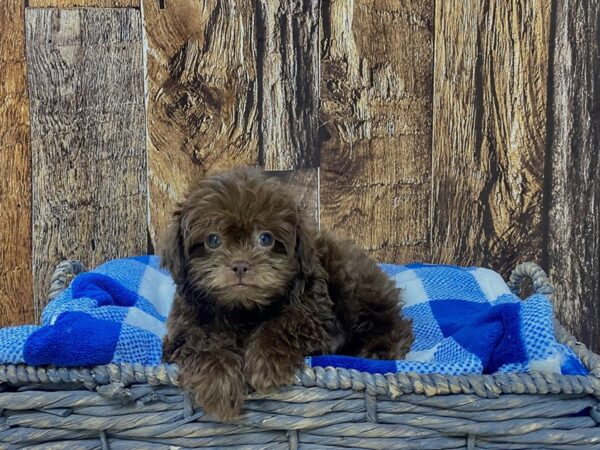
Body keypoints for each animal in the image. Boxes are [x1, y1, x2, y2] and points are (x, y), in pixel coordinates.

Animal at [159, 167, 412, 420]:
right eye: (213, 240)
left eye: (266, 239)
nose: (240, 265)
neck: (243, 310)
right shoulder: (183, 329)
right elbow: (201, 342)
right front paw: (220, 384)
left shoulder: (312, 311)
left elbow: (284, 323)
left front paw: (265, 364)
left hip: (352, 284)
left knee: (394, 324)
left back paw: (378, 350)